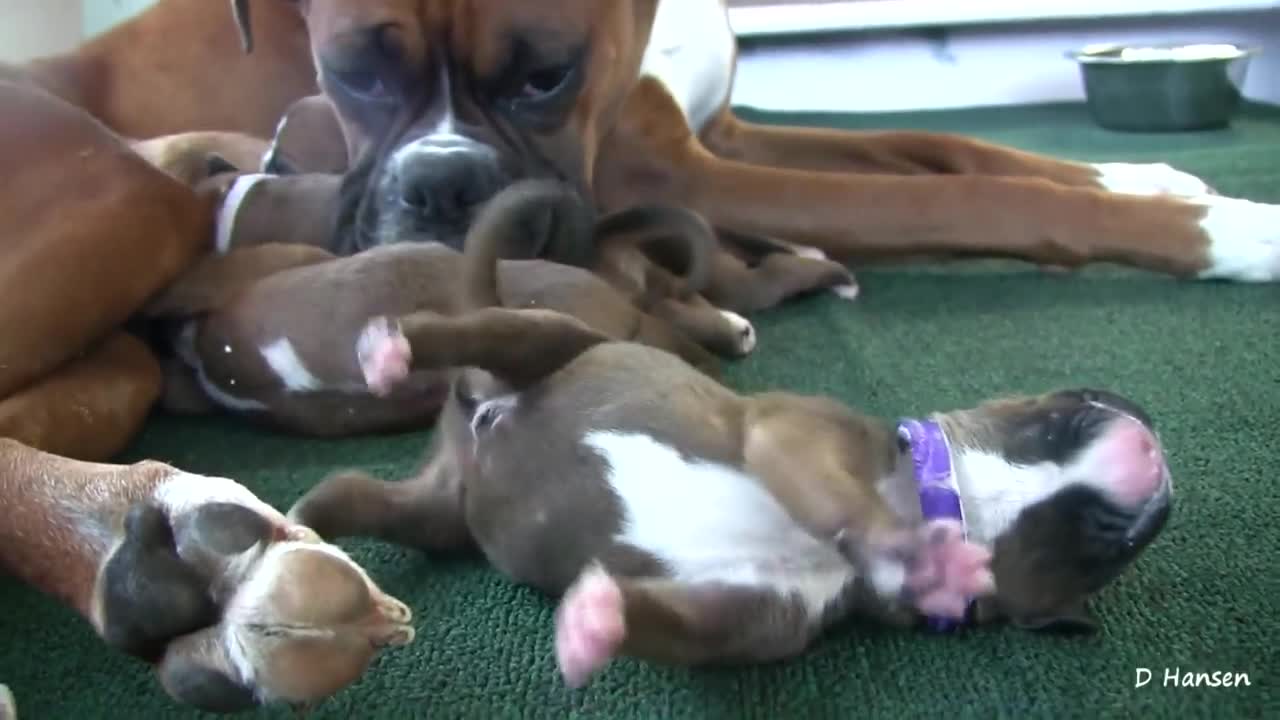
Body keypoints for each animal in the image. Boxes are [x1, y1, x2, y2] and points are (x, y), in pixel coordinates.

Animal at [230, 0, 1280, 283]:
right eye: (355, 72)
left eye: (546, 75)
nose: (444, 187)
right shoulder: (680, 174)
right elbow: (964, 193)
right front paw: (1239, 231)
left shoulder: (723, 134)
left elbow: (944, 144)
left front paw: (1146, 178)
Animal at [288, 271, 1172, 686]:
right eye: (1064, 414)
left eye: (1111, 539)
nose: (1150, 452)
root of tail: (473, 423)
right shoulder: (791, 433)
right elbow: (843, 499)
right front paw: (923, 553)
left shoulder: (757, 614)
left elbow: (676, 626)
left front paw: (595, 622)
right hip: (548, 341)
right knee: (469, 329)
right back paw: (390, 350)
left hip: (444, 513)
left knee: (357, 494)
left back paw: (303, 523)